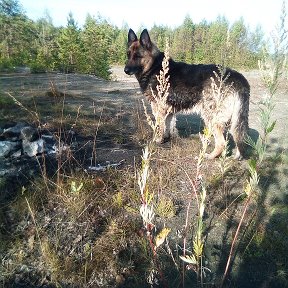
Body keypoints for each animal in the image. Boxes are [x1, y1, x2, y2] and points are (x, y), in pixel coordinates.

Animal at [124, 28, 250, 160]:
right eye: (128, 54)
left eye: (138, 56)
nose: (125, 70)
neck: (153, 66)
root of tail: (238, 78)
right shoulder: (168, 111)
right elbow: (167, 126)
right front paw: (166, 139)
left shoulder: (159, 109)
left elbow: (159, 127)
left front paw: (157, 140)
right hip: (233, 119)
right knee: (238, 137)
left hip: (211, 117)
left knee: (222, 143)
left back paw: (209, 156)